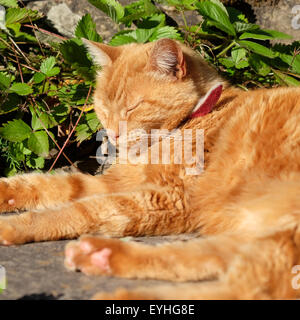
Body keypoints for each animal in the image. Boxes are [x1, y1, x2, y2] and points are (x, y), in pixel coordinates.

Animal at [0, 38, 300, 298]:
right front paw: (7, 192)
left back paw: (120, 292)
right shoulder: (115, 182)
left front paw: (16, 225)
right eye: (104, 108)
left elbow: (85, 209)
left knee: (249, 288)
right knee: (212, 255)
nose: (113, 134)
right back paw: (101, 255)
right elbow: (52, 184)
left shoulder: (171, 198)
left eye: (132, 108)